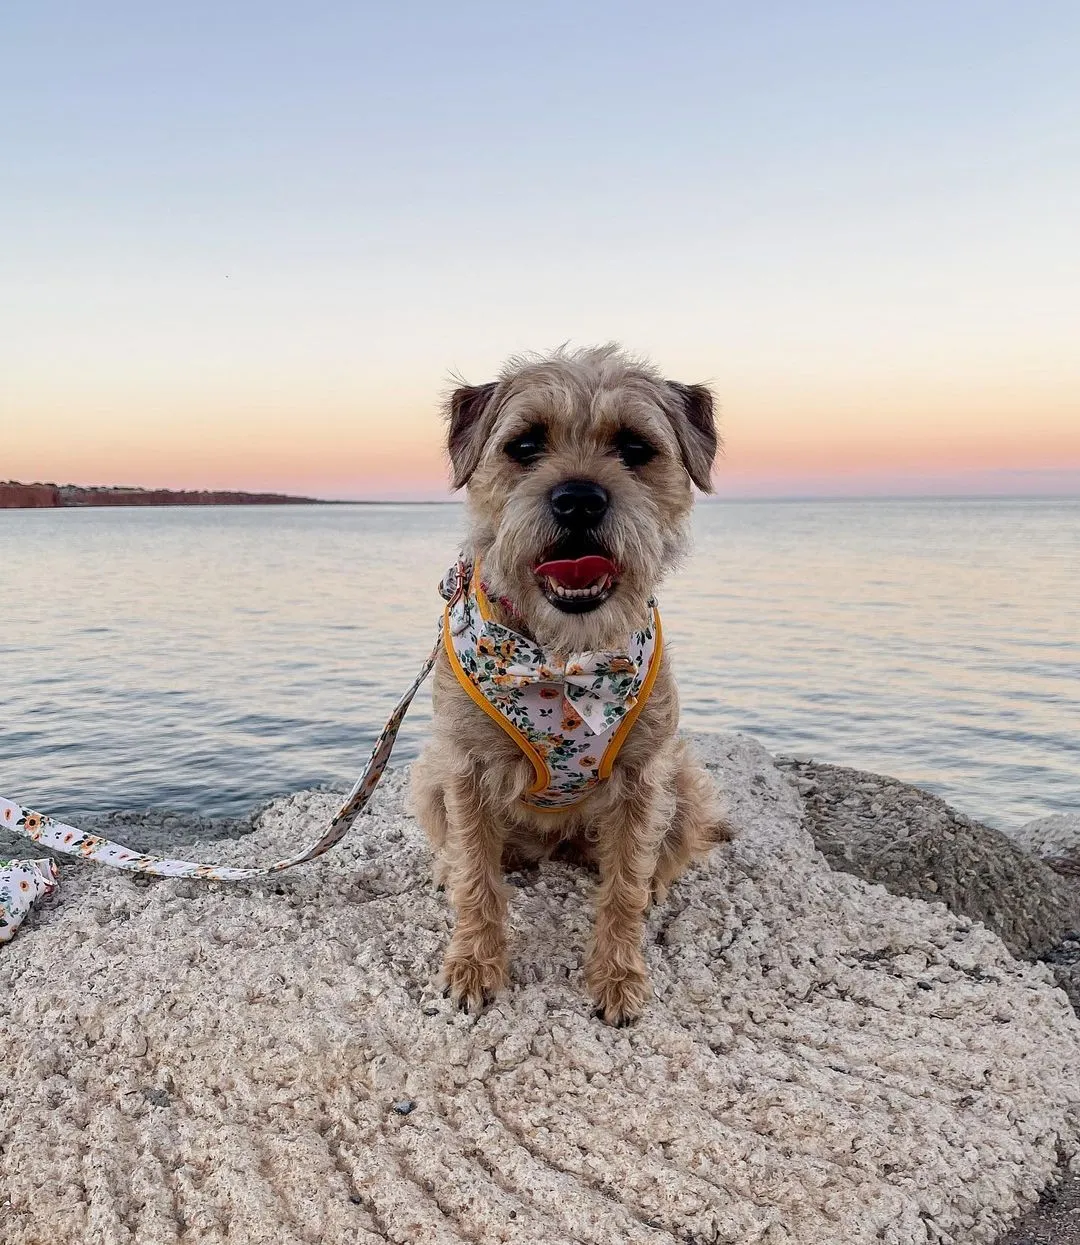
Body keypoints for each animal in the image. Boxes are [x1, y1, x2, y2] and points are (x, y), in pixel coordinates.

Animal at [408, 346, 732, 1025]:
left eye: (635, 447)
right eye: (526, 445)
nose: (578, 500)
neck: (561, 660)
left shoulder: (644, 777)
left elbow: (623, 888)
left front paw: (618, 978)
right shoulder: (464, 769)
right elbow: (477, 877)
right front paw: (474, 965)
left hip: (686, 783)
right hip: (427, 774)